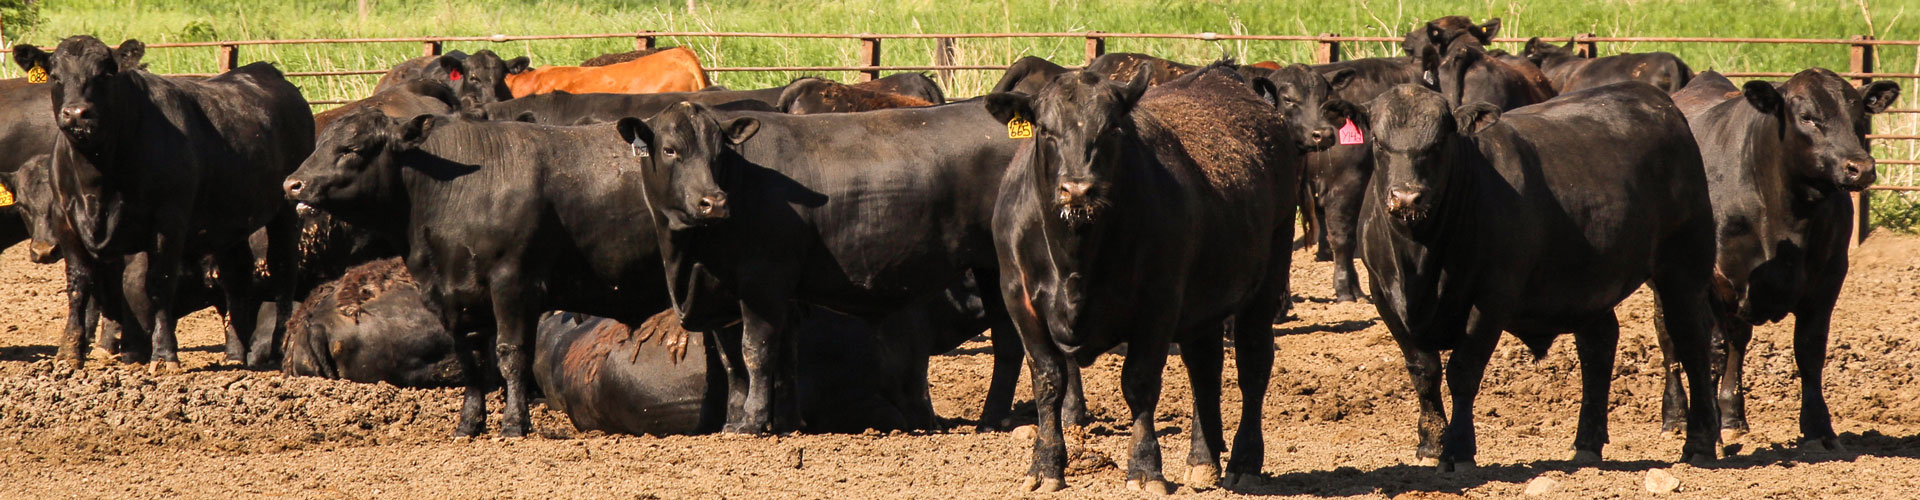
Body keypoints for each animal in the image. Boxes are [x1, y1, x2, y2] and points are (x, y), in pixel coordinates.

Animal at [983, 62, 1297, 492]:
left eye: (1112, 127)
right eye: (1045, 129)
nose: (1078, 189)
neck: (1075, 257)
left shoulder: (1158, 303)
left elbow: (1140, 382)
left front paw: (1146, 467)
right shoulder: (1020, 300)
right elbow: (1048, 381)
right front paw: (1045, 466)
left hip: (1267, 281)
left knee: (1252, 364)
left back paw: (1244, 462)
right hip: (1204, 302)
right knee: (1204, 369)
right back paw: (1203, 459)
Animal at [1351, 82, 1728, 469]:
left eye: (1440, 142)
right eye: (1378, 141)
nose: (1406, 197)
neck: (1420, 256)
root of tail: (1658, 100)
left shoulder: (1491, 298)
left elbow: (1463, 372)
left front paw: (1459, 449)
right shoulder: (1384, 297)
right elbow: (1423, 371)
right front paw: (1431, 445)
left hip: (1683, 268)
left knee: (1692, 344)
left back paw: (1699, 445)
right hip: (1591, 283)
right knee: (1598, 345)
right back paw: (1587, 445)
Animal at [1658, 67, 1896, 450]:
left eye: (1860, 115)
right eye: (1807, 117)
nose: (1860, 168)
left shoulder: (1830, 276)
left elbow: (1809, 349)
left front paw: (1820, 429)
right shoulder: (1709, 279)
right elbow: (1710, 350)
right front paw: (1708, 434)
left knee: (1737, 339)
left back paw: (1733, 416)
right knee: (1670, 338)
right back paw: (1676, 417)